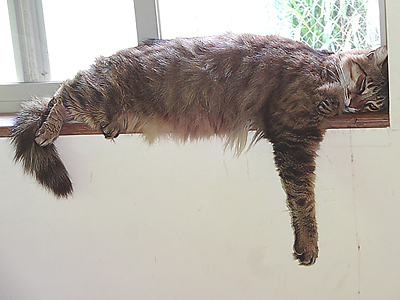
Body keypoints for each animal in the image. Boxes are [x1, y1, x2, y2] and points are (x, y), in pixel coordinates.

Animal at [10, 34, 388, 266]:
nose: (354, 105)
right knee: (62, 91)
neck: (326, 66)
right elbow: (304, 200)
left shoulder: (298, 139)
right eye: (363, 85)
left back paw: (106, 125)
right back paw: (47, 128)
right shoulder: (292, 137)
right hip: (95, 94)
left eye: (373, 106)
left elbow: (300, 199)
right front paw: (308, 244)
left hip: (102, 103)